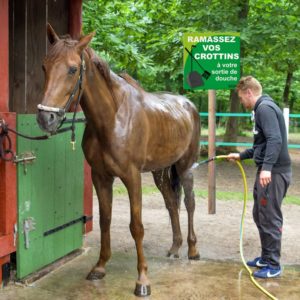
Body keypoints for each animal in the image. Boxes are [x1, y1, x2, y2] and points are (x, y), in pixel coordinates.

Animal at [37, 24, 200, 298]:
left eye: (72, 69)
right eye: (44, 66)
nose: (45, 118)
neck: (112, 119)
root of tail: (189, 105)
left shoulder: (132, 177)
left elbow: (137, 227)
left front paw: (142, 280)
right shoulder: (101, 177)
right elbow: (105, 221)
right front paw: (100, 267)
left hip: (186, 166)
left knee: (189, 204)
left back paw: (192, 250)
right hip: (160, 172)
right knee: (171, 202)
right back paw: (175, 247)